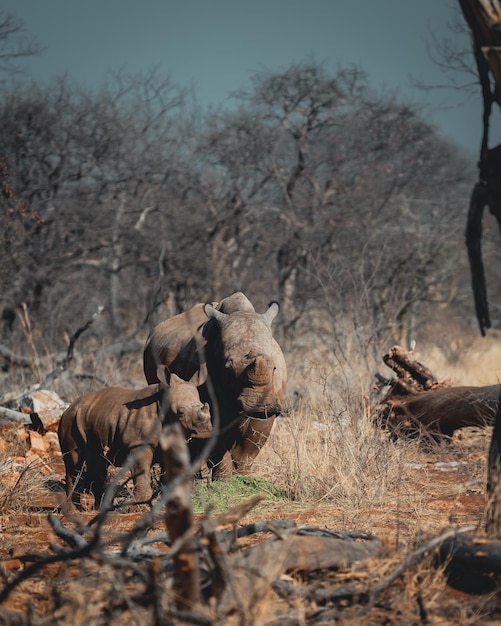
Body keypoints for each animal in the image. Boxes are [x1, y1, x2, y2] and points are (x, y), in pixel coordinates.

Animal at [58, 370, 211, 508]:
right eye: (180, 413)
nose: (205, 431)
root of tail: (69, 407)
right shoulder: (139, 443)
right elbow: (141, 473)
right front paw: (137, 507)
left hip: (90, 417)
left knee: (97, 463)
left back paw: (99, 509)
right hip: (69, 420)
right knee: (74, 465)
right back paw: (74, 511)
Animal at [143, 292, 288, 478]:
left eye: (274, 368)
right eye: (228, 368)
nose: (257, 405)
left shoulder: (268, 409)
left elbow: (250, 448)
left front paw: (244, 477)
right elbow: (217, 447)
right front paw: (223, 480)